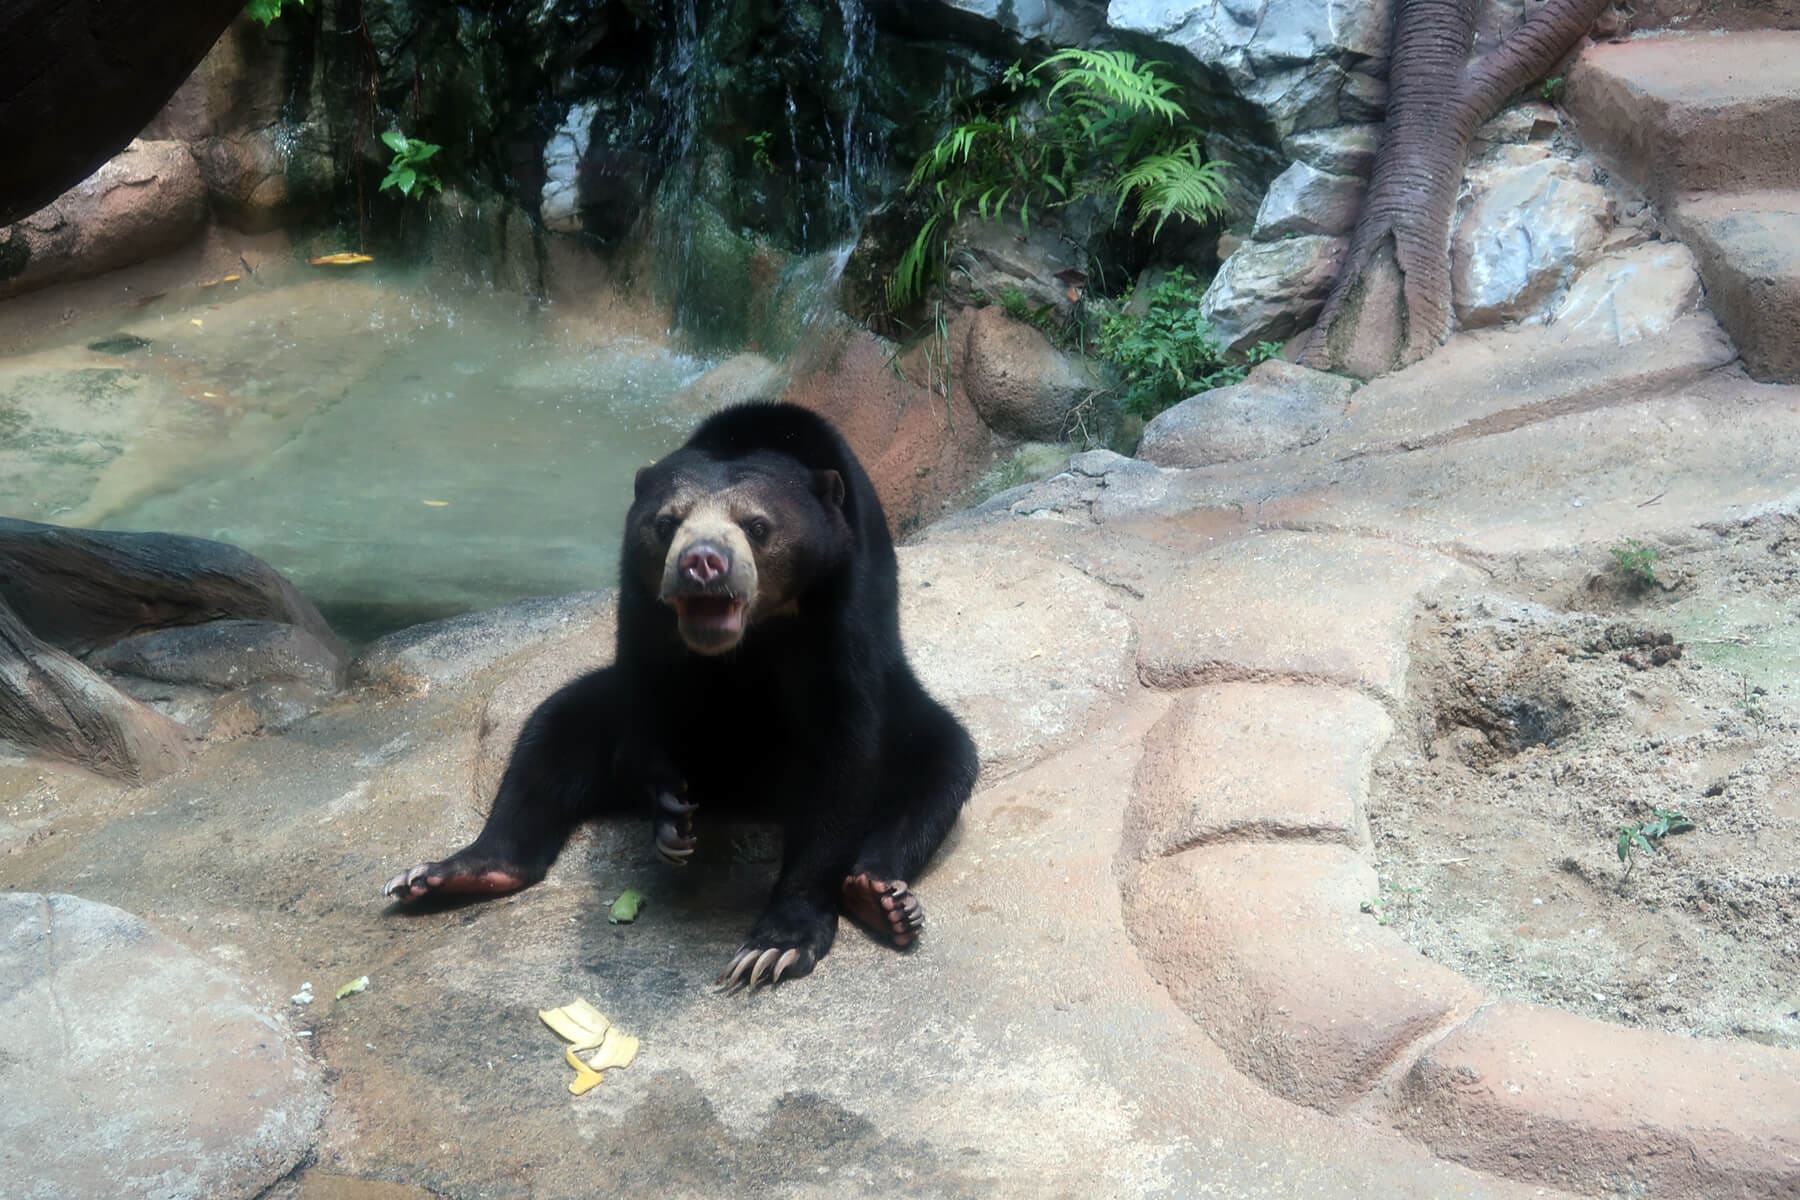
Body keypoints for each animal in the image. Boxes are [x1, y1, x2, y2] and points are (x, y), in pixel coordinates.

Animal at [372, 399, 979, 993]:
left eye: (757, 525)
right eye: (666, 523)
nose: (702, 562)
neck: (748, 639)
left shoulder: (845, 601)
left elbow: (843, 752)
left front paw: (776, 946)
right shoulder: (641, 600)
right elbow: (646, 695)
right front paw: (670, 820)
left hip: (909, 714)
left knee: (942, 762)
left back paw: (880, 896)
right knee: (553, 733)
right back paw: (450, 873)